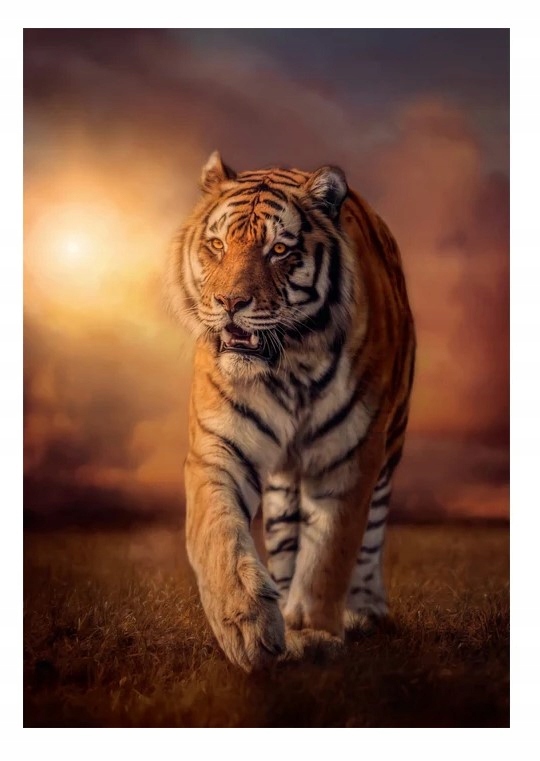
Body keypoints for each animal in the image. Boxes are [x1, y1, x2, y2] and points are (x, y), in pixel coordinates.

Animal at [167, 151, 416, 671]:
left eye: (279, 249)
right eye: (217, 245)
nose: (230, 303)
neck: (289, 366)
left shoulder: (350, 458)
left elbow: (330, 554)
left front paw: (313, 631)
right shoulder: (218, 447)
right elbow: (218, 532)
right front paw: (247, 626)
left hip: (391, 445)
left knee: (371, 534)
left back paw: (365, 610)